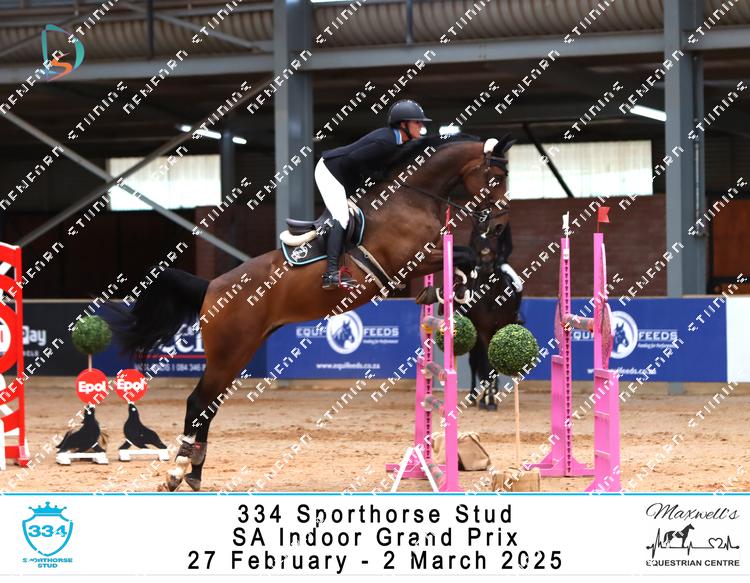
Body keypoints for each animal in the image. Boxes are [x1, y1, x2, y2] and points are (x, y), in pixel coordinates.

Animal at [108, 134, 514, 491]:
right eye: (496, 178)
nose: (497, 225)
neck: (412, 196)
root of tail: (211, 288)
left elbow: (463, 259)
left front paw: (454, 286)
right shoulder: (409, 260)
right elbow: (466, 254)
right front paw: (464, 281)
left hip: (236, 354)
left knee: (208, 406)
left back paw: (193, 473)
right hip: (229, 351)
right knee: (198, 402)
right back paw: (178, 471)